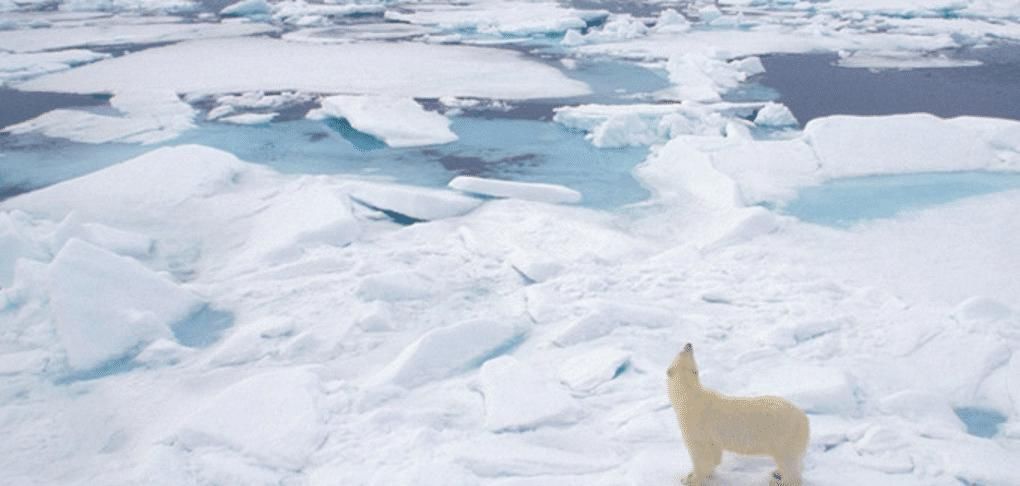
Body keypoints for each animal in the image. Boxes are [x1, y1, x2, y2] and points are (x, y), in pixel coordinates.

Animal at [665, 343, 807, 483]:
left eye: (684, 352)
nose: (689, 344)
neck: (689, 396)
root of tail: (804, 419)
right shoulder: (712, 437)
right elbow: (714, 454)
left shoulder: (696, 425)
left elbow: (701, 454)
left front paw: (690, 478)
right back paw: (777, 472)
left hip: (784, 436)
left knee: (788, 462)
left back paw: (782, 480)